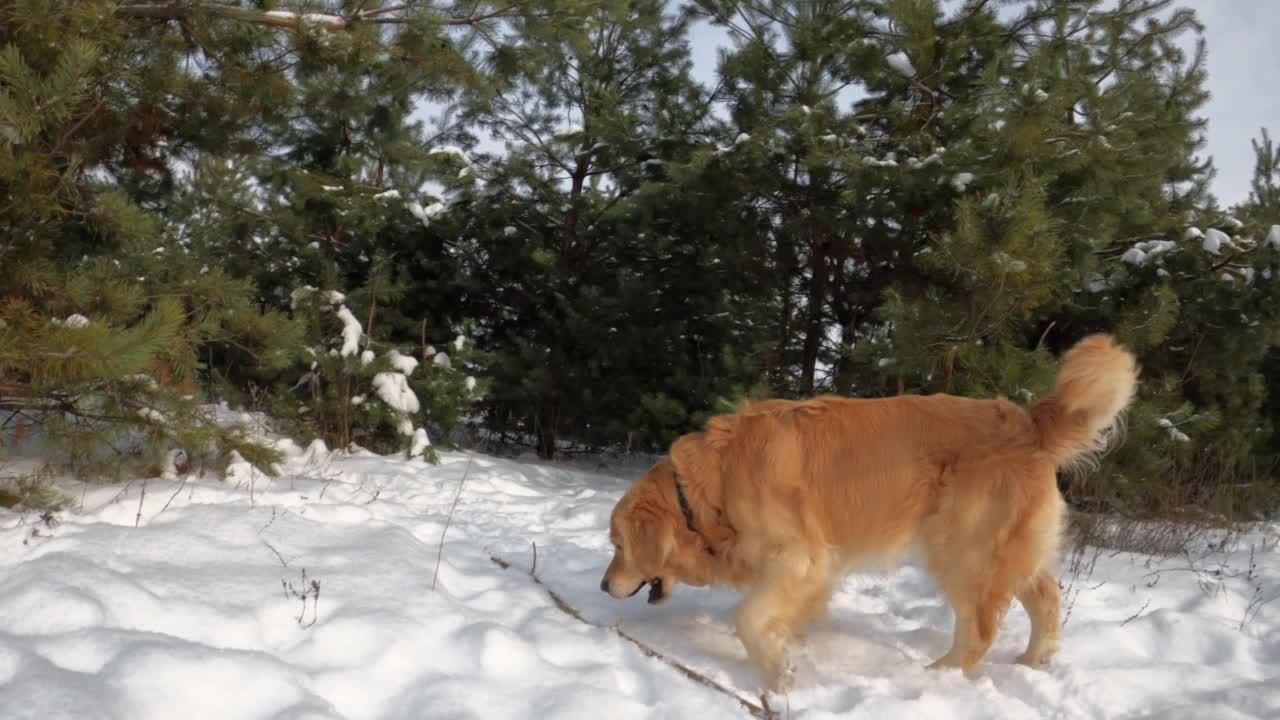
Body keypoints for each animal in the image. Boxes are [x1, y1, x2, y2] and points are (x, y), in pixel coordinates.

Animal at [601, 333, 1141, 686]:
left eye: (618, 545)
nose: (604, 586)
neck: (712, 484)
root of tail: (1029, 420)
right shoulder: (814, 568)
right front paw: (790, 645)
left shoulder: (801, 556)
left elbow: (749, 617)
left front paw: (778, 674)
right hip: (1007, 550)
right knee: (1046, 598)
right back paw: (1034, 663)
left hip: (963, 548)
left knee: (981, 629)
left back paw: (937, 677)